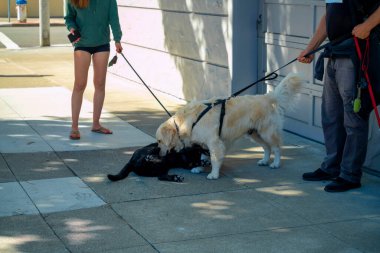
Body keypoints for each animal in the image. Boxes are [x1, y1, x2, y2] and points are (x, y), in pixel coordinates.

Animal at [155, 72, 302, 180]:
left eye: (160, 141)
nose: (160, 154)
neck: (188, 121)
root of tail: (268, 96)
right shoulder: (203, 143)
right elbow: (203, 157)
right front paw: (199, 167)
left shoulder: (214, 142)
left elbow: (214, 158)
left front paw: (214, 174)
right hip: (254, 133)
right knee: (267, 147)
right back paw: (264, 161)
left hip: (267, 131)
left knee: (276, 148)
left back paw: (275, 164)